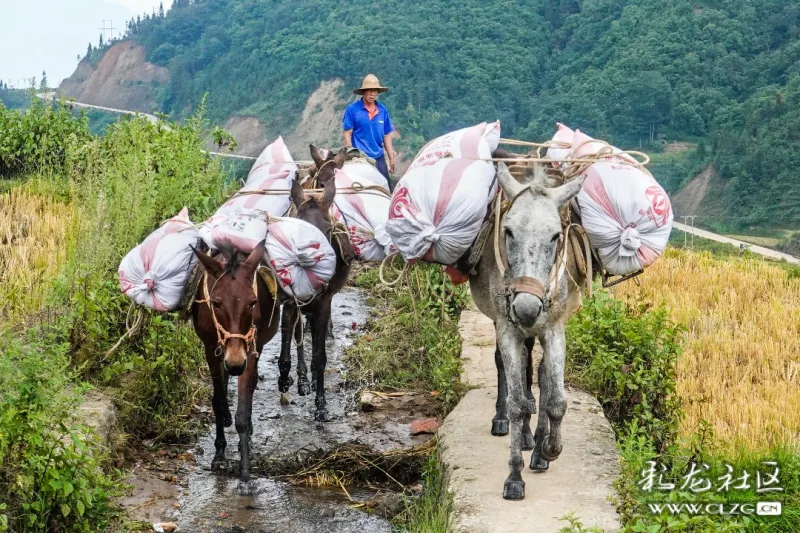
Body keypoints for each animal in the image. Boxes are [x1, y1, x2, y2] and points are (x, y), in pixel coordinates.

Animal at [191, 239, 282, 480]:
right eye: (216, 303)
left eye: (252, 302)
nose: (234, 363)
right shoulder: (210, 348)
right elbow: (218, 399)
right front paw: (219, 453)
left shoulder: (249, 350)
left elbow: (242, 411)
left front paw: (245, 472)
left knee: (250, 389)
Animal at [280, 178, 354, 420]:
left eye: (328, 229)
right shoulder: (290, 303)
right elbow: (288, 347)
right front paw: (286, 380)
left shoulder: (323, 303)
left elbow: (320, 357)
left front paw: (321, 405)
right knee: (298, 335)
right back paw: (302, 379)